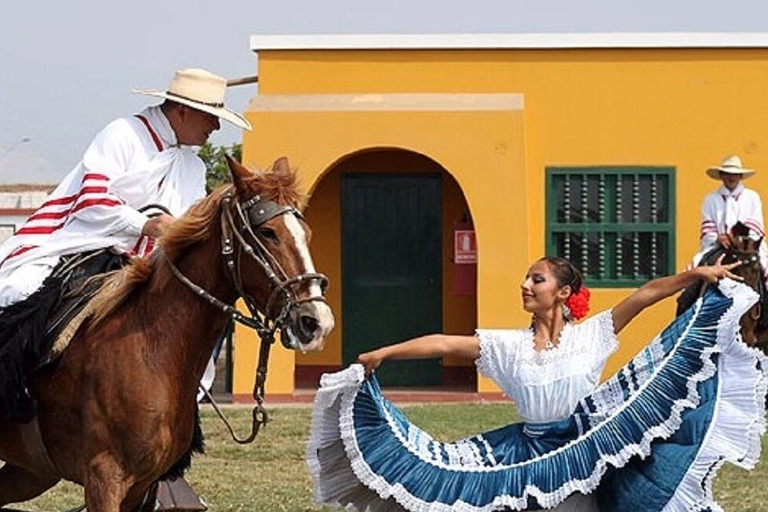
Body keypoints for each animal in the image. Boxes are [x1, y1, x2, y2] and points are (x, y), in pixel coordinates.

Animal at [0, 157, 336, 512]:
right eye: (268, 232)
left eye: (306, 233)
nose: (316, 322)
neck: (153, 351)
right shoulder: (103, 480)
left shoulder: (141, 487)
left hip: (32, 472)